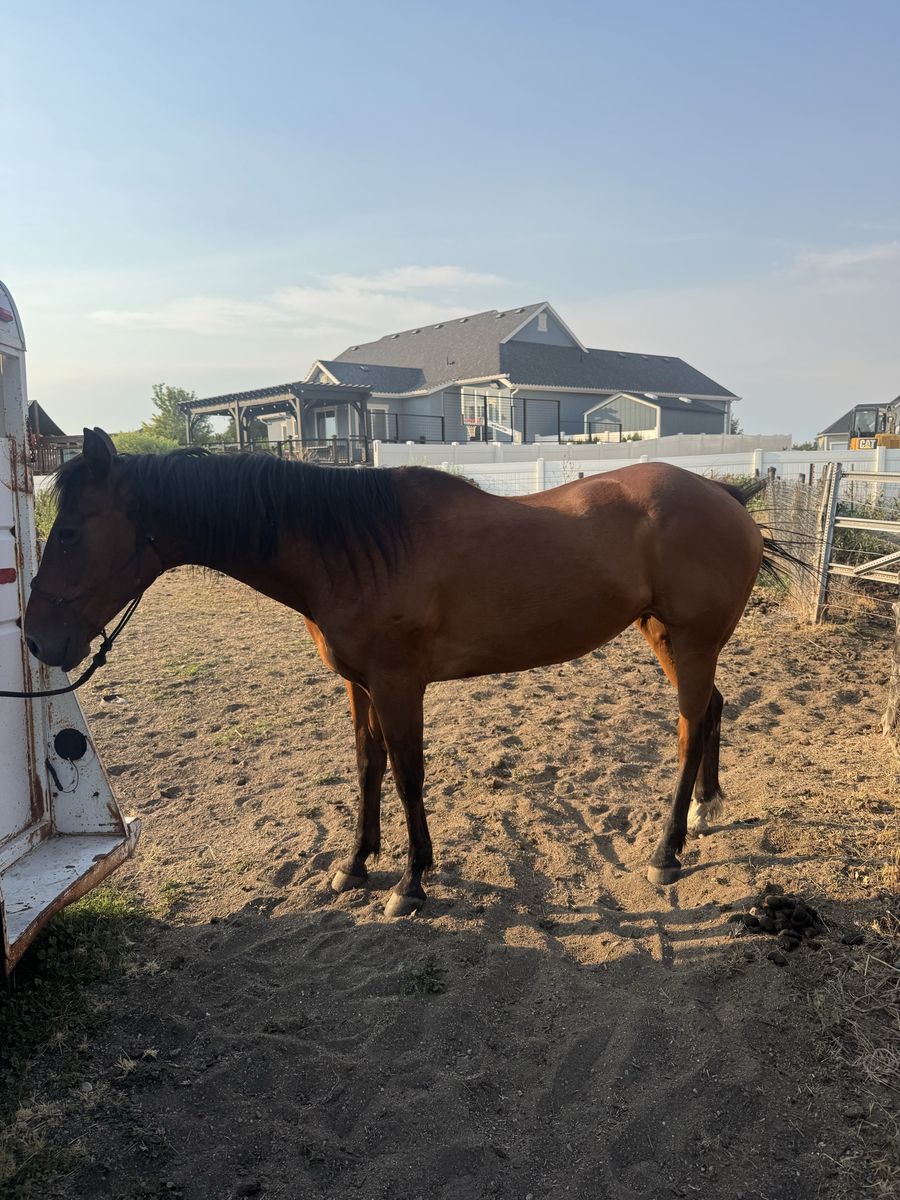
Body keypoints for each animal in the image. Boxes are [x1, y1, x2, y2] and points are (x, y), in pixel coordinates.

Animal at [26, 427, 775, 917]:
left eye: (69, 533)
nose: (36, 638)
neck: (354, 547)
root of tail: (723, 494)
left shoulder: (397, 684)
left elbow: (409, 775)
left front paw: (410, 883)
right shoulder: (359, 684)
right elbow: (368, 768)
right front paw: (355, 866)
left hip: (688, 642)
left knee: (688, 728)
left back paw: (667, 850)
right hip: (668, 638)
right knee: (712, 708)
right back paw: (706, 809)